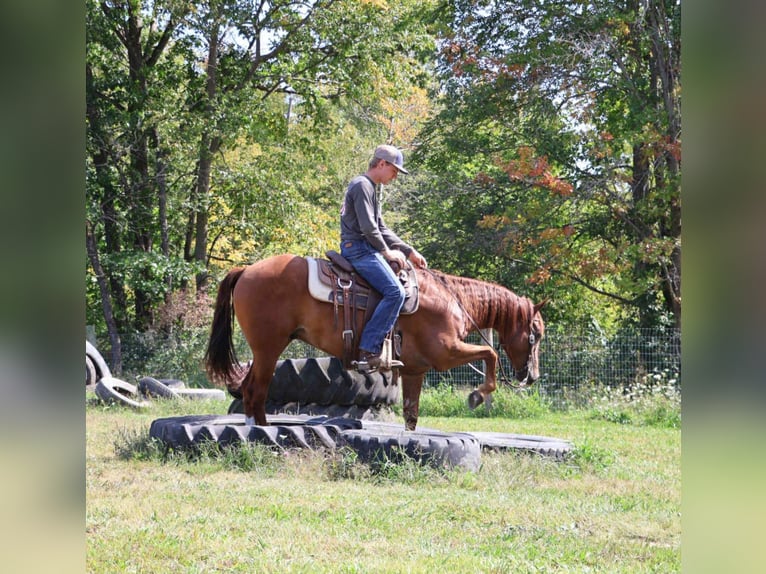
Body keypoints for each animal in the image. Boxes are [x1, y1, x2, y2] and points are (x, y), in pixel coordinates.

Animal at [205, 253, 547, 430]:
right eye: (535, 335)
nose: (532, 376)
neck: (451, 300)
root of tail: (246, 270)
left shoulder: (415, 370)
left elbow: (411, 415)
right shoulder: (446, 352)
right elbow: (490, 353)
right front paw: (477, 395)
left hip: (265, 350)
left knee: (250, 389)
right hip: (268, 348)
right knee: (255, 390)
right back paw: (261, 431)